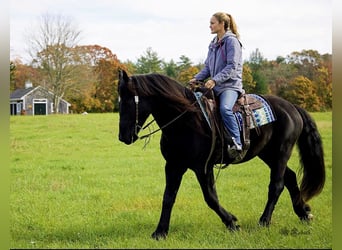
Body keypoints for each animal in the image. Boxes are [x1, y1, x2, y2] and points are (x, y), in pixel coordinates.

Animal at [117, 70, 326, 240]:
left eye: (128, 101)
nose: (123, 137)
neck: (187, 120)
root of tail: (292, 107)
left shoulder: (203, 167)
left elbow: (210, 198)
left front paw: (232, 223)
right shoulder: (174, 165)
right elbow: (168, 197)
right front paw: (160, 232)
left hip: (282, 151)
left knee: (277, 185)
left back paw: (264, 221)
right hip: (268, 154)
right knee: (290, 177)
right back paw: (304, 213)